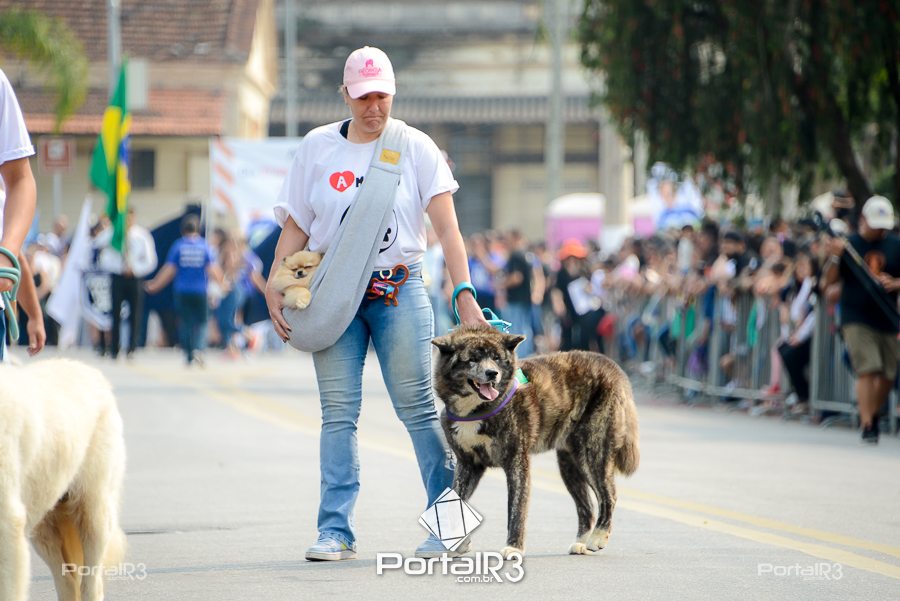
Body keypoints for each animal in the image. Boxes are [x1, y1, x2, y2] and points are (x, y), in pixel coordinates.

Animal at [0, 359, 126, 601]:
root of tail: (89, 368)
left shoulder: (7, 523)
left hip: (92, 513)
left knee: (91, 583)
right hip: (44, 524)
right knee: (67, 580)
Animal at [432, 324, 639, 558]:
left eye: (496, 358)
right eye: (473, 359)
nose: (492, 373)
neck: (475, 409)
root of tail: (612, 366)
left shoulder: (517, 463)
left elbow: (516, 509)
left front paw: (514, 547)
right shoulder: (468, 465)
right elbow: (454, 503)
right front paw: (455, 543)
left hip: (593, 454)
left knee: (608, 495)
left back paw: (598, 536)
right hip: (570, 465)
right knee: (586, 506)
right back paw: (581, 542)